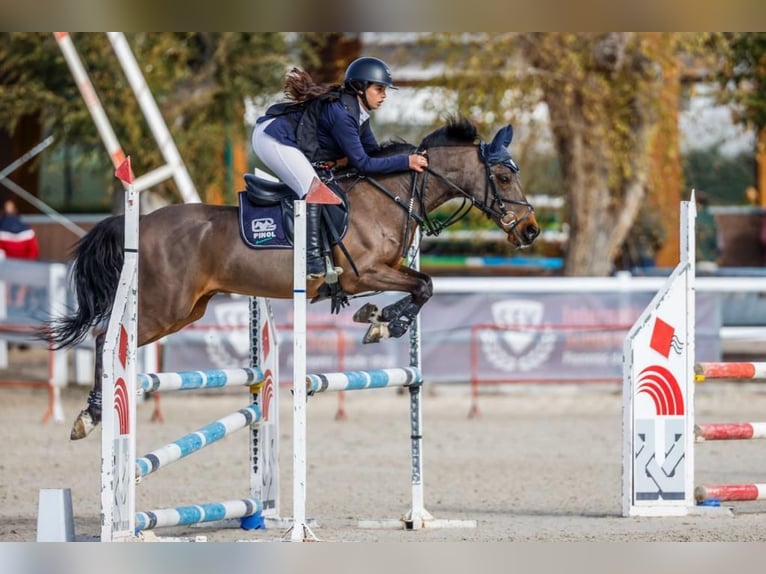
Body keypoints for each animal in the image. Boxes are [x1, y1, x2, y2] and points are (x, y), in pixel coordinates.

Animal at [48, 117, 540, 440]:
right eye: (501, 177)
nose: (531, 230)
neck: (393, 193)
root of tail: (141, 222)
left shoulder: (386, 269)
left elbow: (424, 285)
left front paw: (377, 319)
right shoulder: (363, 272)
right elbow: (423, 286)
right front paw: (384, 323)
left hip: (186, 311)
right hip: (163, 305)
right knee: (104, 337)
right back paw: (91, 415)